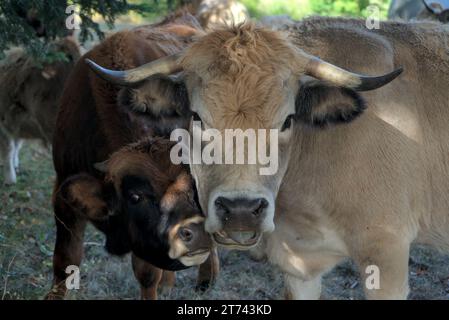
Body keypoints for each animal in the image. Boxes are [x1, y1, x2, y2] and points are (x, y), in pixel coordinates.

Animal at [48, 13, 217, 300]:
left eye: (192, 187)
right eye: (136, 196)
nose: (196, 233)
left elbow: (147, 273)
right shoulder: (63, 195)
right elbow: (64, 261)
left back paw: (207, 278)